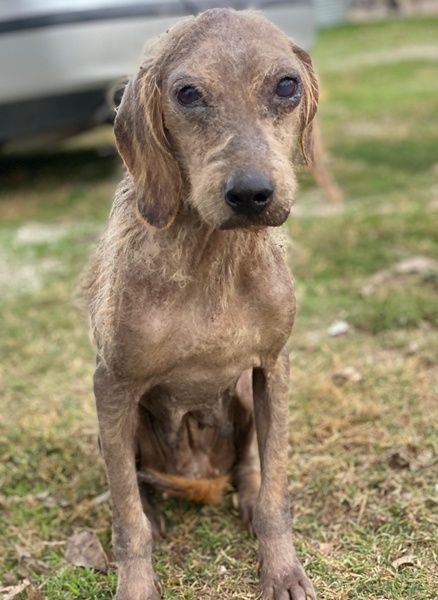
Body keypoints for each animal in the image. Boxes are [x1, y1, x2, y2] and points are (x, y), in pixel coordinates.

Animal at [84, 8, 319, 599]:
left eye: (287, 85)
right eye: (188, 93)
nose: (251, 193)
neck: (212, 257)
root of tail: (199, 478)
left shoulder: (273, 368)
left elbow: (277, 488)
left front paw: (281, 568)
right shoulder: (111, 385)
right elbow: (127, 517)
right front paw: (136, 583)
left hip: (243, 395)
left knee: (249, 467)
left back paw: (247, 496)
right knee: (135, 492)